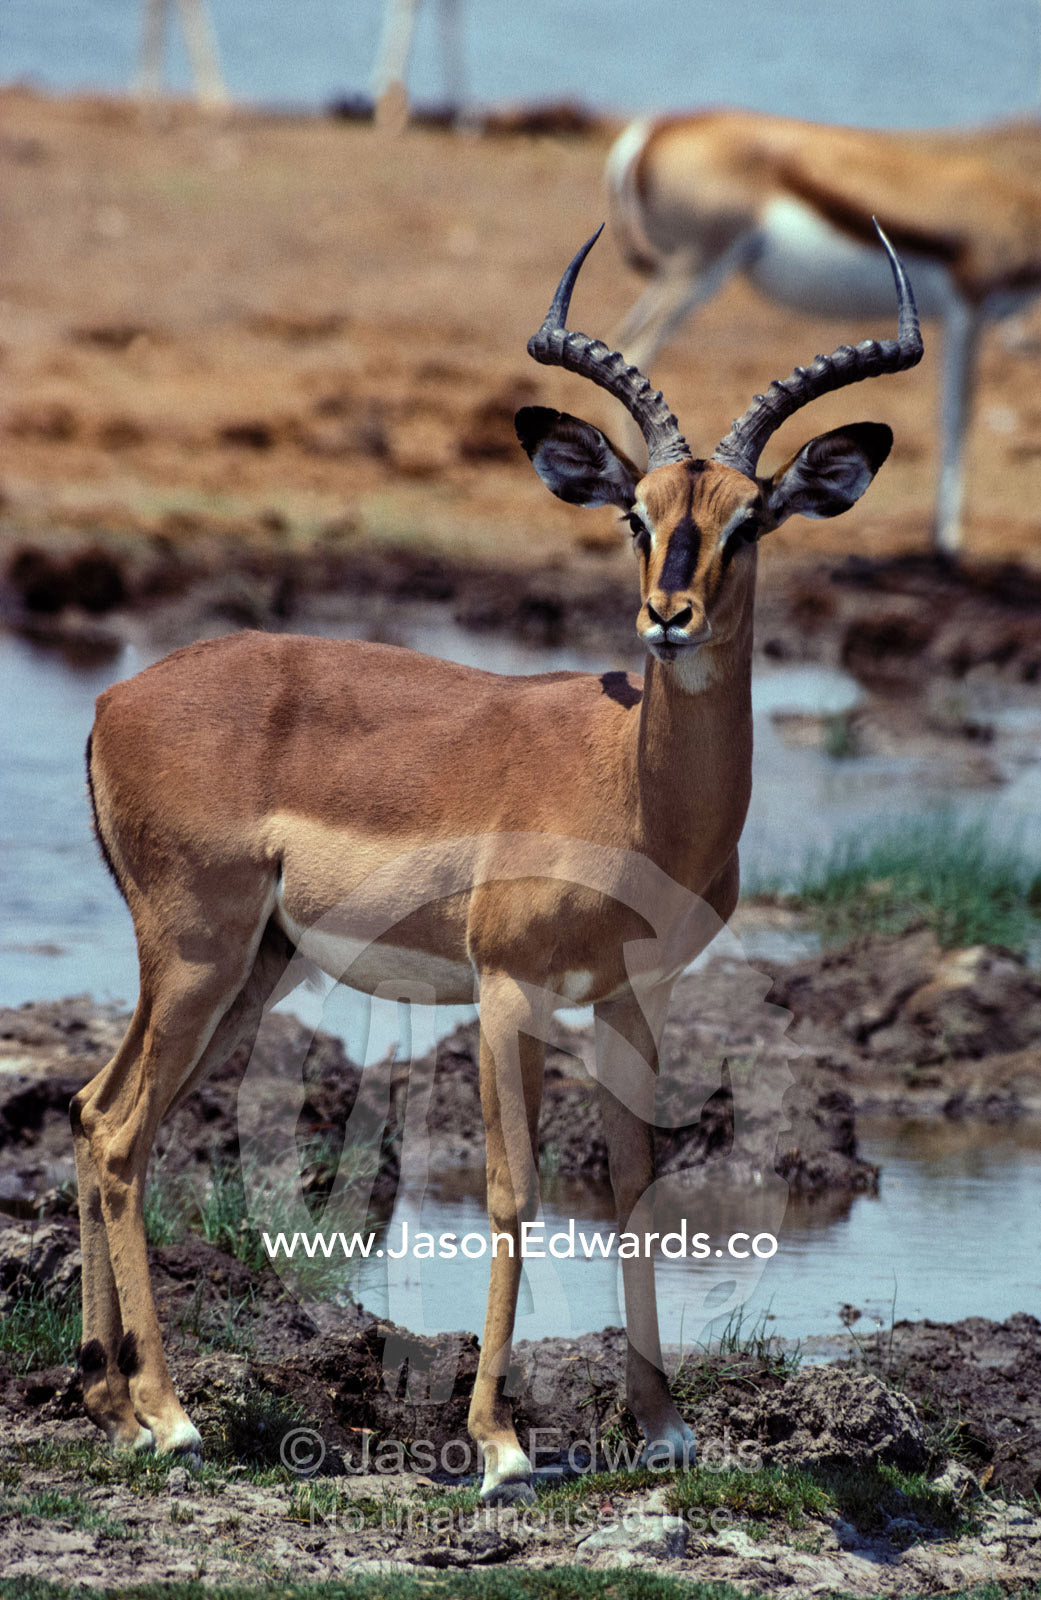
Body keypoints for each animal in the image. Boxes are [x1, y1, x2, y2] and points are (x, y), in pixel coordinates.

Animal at [74, 223, 920, 1502]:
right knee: (123, 1135)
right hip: (200, 954)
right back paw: (169, 1420)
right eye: (637, 513)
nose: (667, 615)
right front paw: (501, 1444)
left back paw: (107, 1402)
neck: (628, 787)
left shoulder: (629, 998)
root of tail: (114, 702)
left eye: (748, 521)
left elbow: (631, 1188)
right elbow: (514, 1190)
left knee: (89, 1112)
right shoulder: (507, 989)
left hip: (247, 969)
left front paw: (663, 1427)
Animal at [607, 108, 1041, 556]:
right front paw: (948, 541)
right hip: (700, 267)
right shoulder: (967, 309)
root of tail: (653, 130)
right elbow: (958, 414)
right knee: (636, 345)